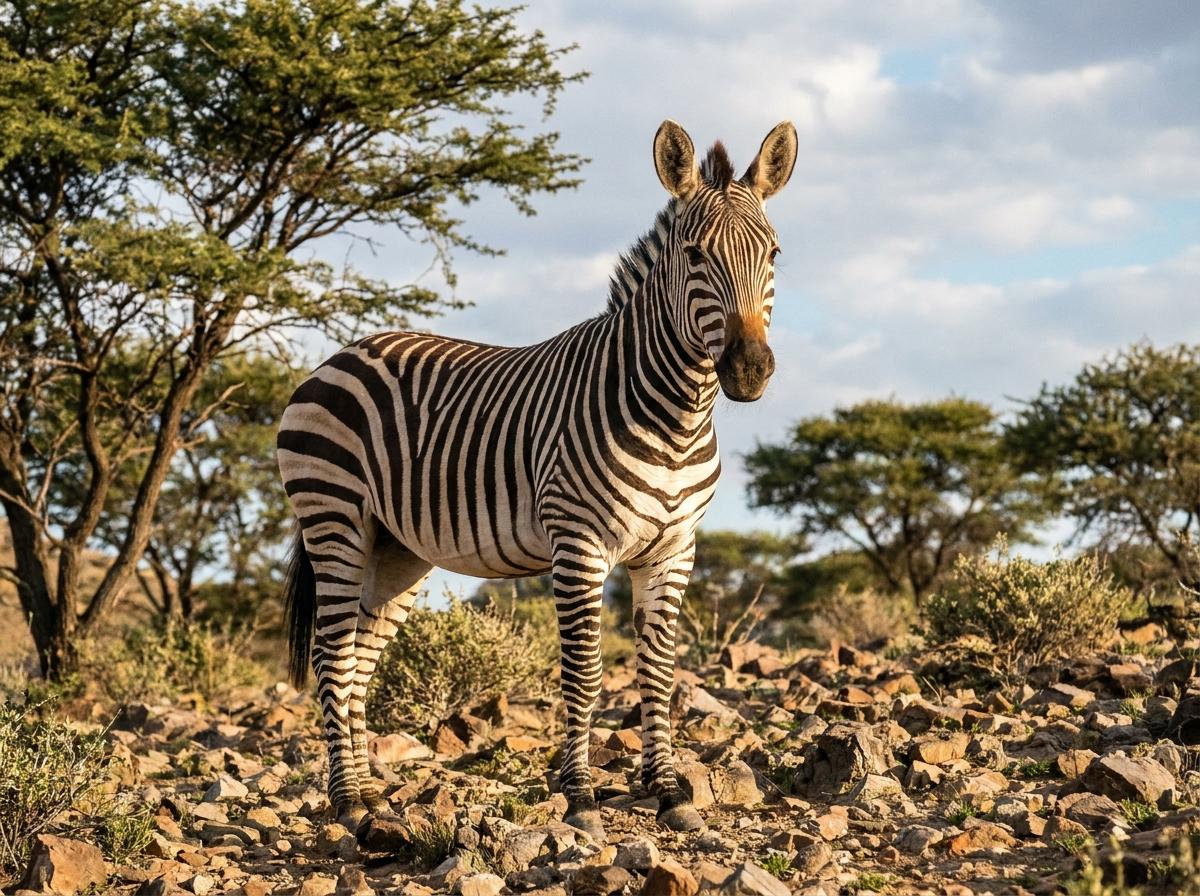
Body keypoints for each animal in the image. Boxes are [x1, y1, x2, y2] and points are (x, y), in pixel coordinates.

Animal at [277, 119, 797, 848]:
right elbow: (584, 673)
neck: (679, 416)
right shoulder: (578, 543)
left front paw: (669, 793)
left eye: (774, 254)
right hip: (335, 517)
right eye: (695, 256)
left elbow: (659, 672)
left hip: (395, 549)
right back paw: (347, 802)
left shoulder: (674, 548)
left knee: (356, 661)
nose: (749, 371)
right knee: (330, 654)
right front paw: (580, 798)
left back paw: (373, 799)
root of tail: (339, 356)